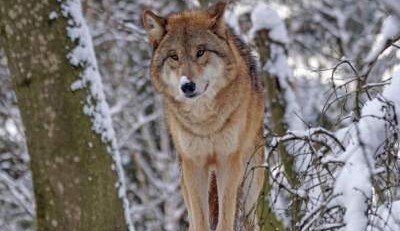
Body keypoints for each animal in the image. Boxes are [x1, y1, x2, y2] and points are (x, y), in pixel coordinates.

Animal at [143, 1, 266, 229]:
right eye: (174, 56)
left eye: (200, 52)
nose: (187, 86)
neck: (205, 121)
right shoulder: (194, 164)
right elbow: (201, 220)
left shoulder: (228, 160)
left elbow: (225, 219)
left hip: (251, 181)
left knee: (250, 220)